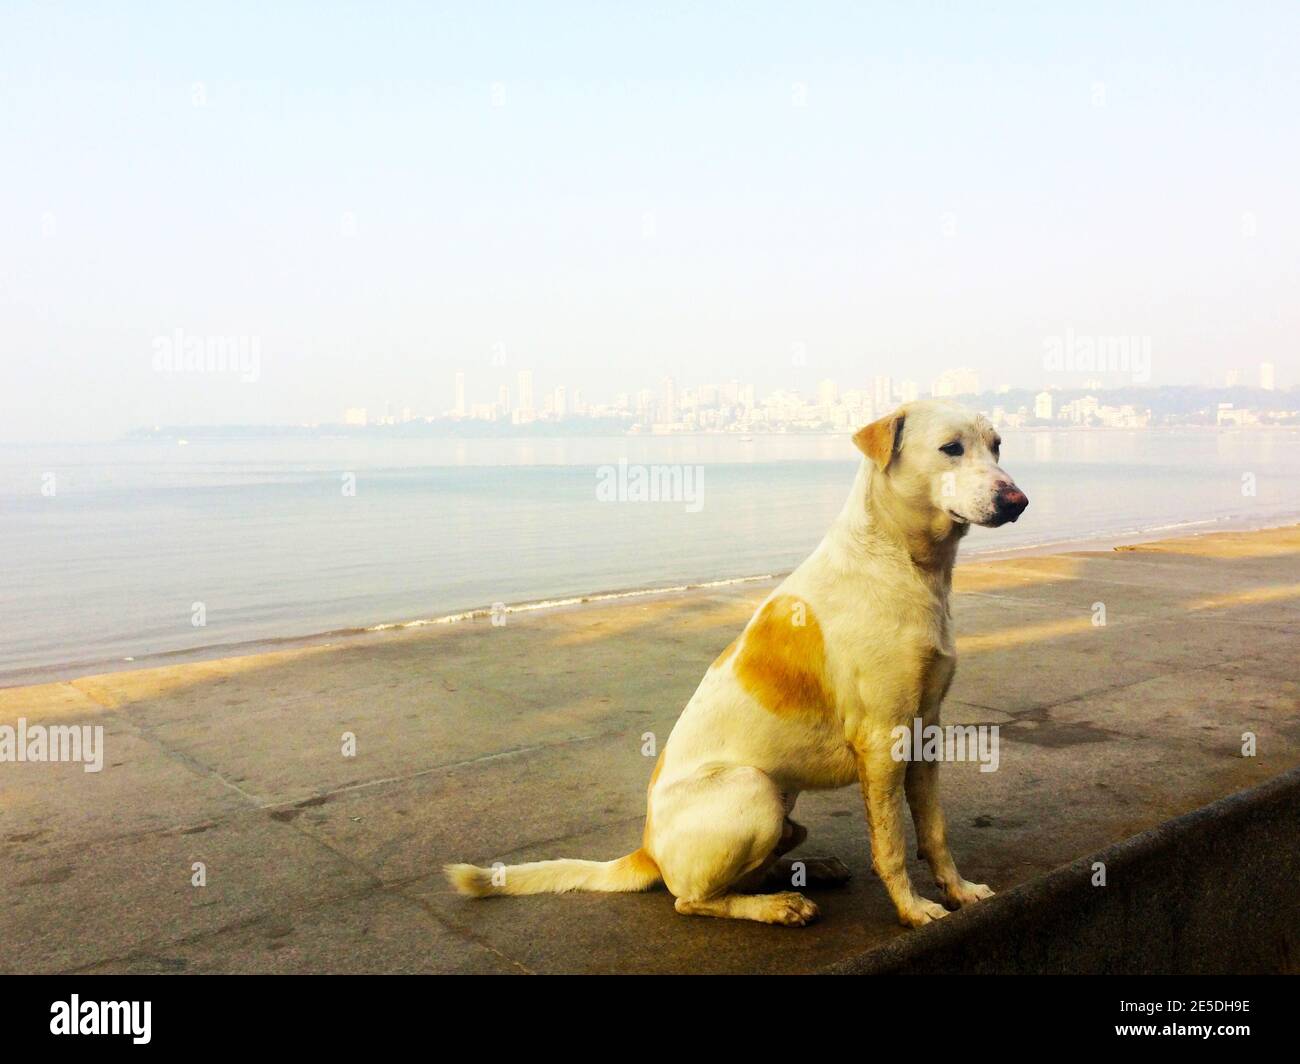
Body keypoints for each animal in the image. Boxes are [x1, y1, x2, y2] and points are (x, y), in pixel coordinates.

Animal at [447, 398, 1024, 920]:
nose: (1018, 501)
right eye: (950, 448)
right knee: (691, 900)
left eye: (997, 445)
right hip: (755, 791)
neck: (905, 563)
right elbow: (892, 844)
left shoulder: (924, 728)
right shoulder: (882, 740)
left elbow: (934, 830)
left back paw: (807, 871)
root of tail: (647, 850)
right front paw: (913, 909)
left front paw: (959, 890)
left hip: (786, 810)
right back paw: (774, 907)